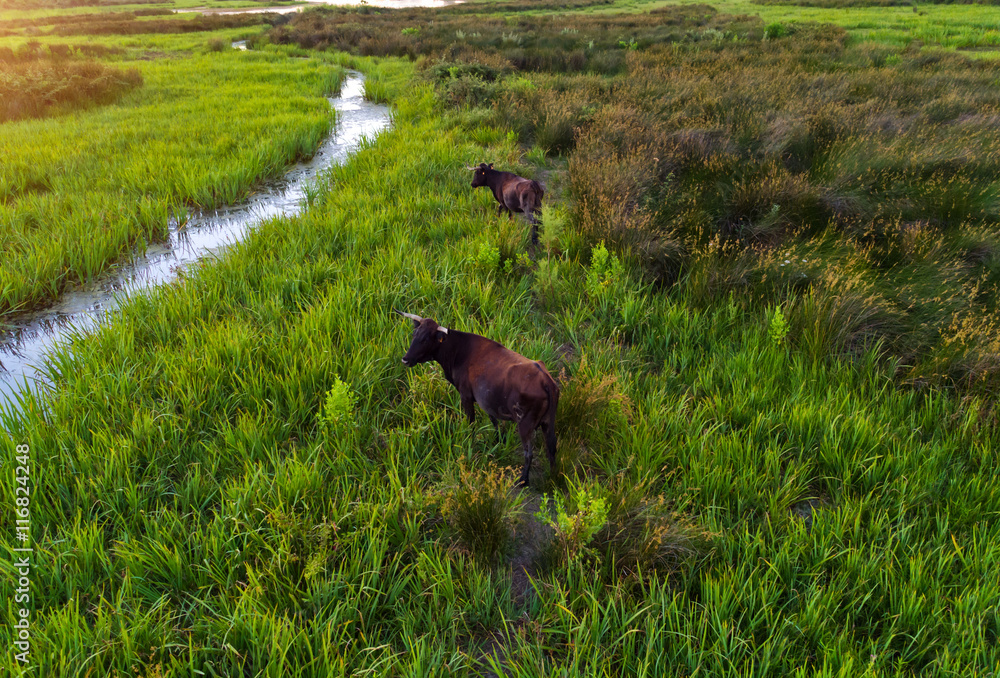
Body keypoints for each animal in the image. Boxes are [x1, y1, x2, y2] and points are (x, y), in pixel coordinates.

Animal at [396, 310, 556, 486]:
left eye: (425, 339)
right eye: (414, 334)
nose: (405, 359)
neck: (459, 351)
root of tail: (545, 379)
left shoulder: (466, 396)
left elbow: (471, 422)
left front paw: (469, 442)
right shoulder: (489, 402)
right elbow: (494, 420)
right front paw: (499, 440)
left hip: (525, 425)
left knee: (529, 452)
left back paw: (523, 480)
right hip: (548, 422)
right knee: (552, 448)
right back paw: (552, 477)